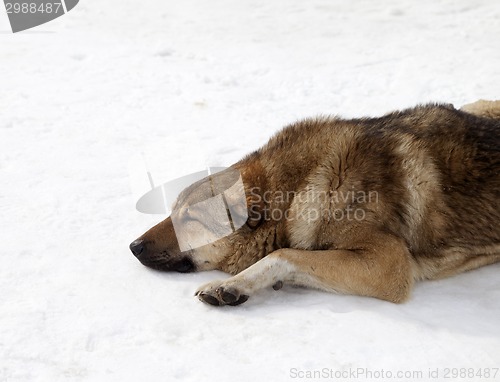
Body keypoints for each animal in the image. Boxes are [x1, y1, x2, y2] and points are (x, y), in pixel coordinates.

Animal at [130, 100, 500, 306]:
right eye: (173, 212)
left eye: (189, 219)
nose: (133, 246)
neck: (300, 187)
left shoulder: (389, 264)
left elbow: (283, 255)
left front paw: (231, 284)